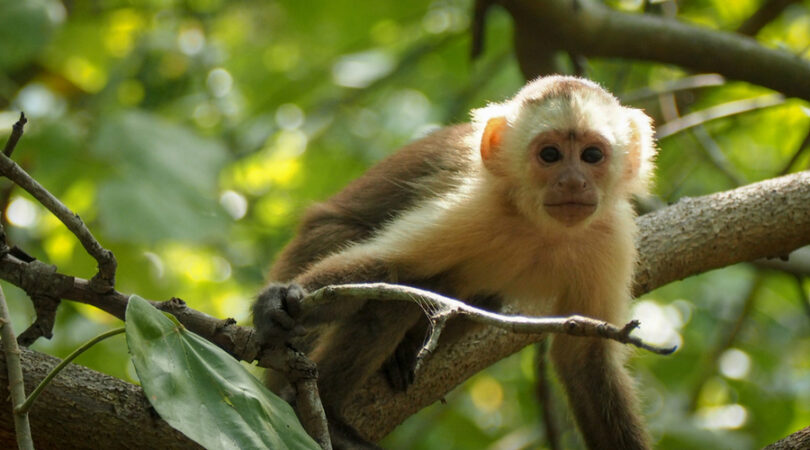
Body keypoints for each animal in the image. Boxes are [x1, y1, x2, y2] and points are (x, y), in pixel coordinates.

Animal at [252, 75, 656, 448]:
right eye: (550, 155)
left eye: (592, 156)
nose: (572, 182)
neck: (543, 228)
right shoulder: (473, 204)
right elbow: (384, 264)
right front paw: (280, 302)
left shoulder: (610, 237)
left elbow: (586, 359)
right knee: (391, 298)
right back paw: (322, 411)